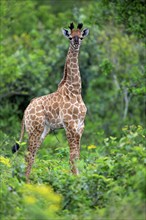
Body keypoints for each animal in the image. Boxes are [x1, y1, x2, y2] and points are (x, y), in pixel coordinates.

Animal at [12, 22, 89, 181]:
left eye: (81, 37)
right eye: (70, 37)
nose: (76, 43)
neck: (75, 90)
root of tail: (26, 109)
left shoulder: (80, 125)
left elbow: (77, 156)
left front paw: (79, 178)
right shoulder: (69, 125)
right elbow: (72, 157)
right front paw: (75, 180)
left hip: (43, 130)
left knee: (32, 154)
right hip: (34, 129)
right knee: (28, 155)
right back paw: (26, 182)